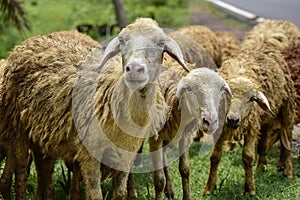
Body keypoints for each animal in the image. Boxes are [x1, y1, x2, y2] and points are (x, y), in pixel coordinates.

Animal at [0, 18, 190, 199]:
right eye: (122, 40)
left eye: (161, 43)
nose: (134, 69)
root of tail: (29, 41)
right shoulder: (89, 153)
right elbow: (95, 195)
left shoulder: (126, 155)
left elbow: (120, 194)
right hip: (17, 130)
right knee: (22, 173)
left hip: (42, 136)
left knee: (43, 169)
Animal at [203, 48, 294, 195]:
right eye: (226, 94)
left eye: (252, 99)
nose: (232, 120)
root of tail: (266, 49)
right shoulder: (220, 129)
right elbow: (215, 157)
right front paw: (209, 188)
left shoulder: (251, 127)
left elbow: (248, 156)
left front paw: (250, 189)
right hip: (265, 119)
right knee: (263, 141)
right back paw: (261, 167)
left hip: (287, 108)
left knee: (288, 140)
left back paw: (288, 171)